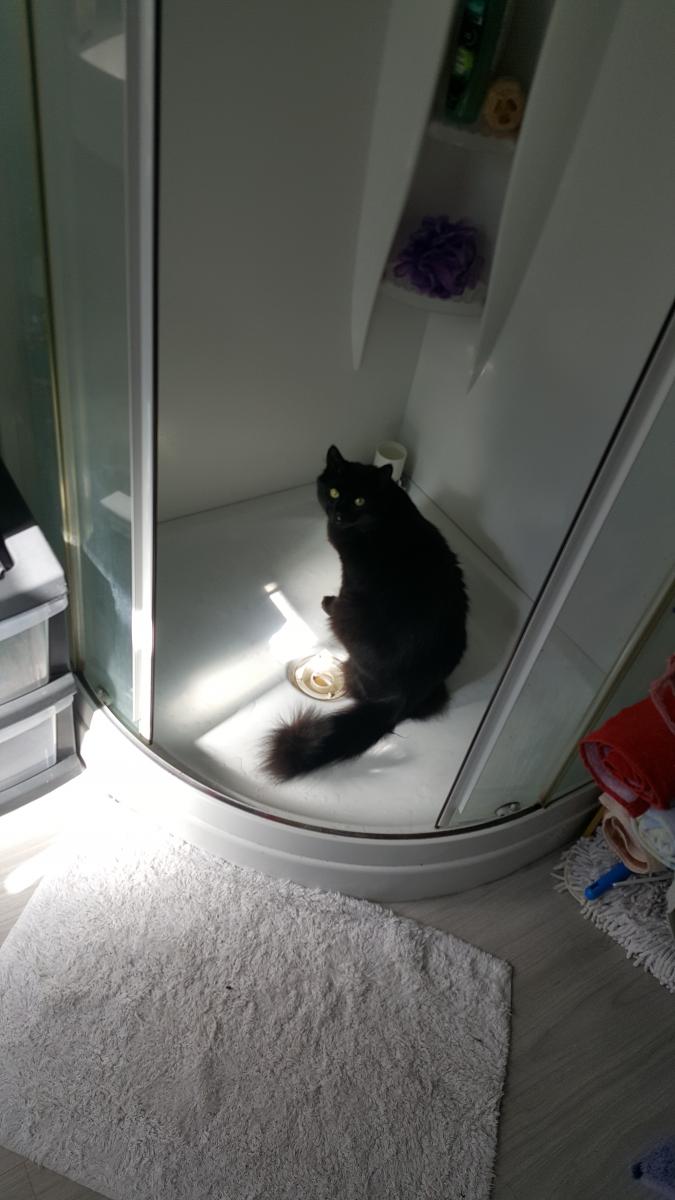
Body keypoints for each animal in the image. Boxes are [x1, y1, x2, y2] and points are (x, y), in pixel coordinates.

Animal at [264, 445, 468, 780]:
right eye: (334, 492)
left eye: (360, 500)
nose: (338, 514)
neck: (382, 513)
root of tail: (401, 700)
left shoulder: (350, 577)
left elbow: (339, 594)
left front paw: (327, 602)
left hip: (352, 619)